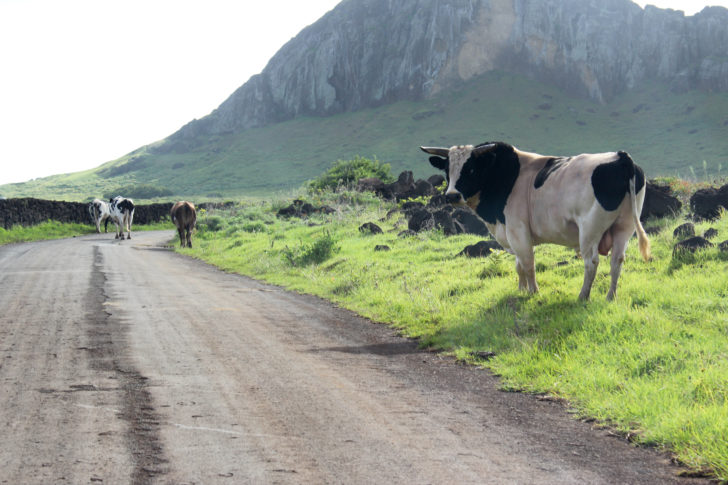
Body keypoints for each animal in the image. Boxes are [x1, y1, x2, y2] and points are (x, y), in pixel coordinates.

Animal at [424, 140, 652, 298]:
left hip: (590, 229)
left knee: (591, 262)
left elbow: (527, 263)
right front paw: (521, 289)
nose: (452, 195)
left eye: (470, 169)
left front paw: (533, 291)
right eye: (447, 170)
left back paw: (583, 296)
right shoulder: (512, 233)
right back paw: (610, 296)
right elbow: (518, 265)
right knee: (617, 260)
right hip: (624, 227)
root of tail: (620, 157)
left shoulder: (517, 229)